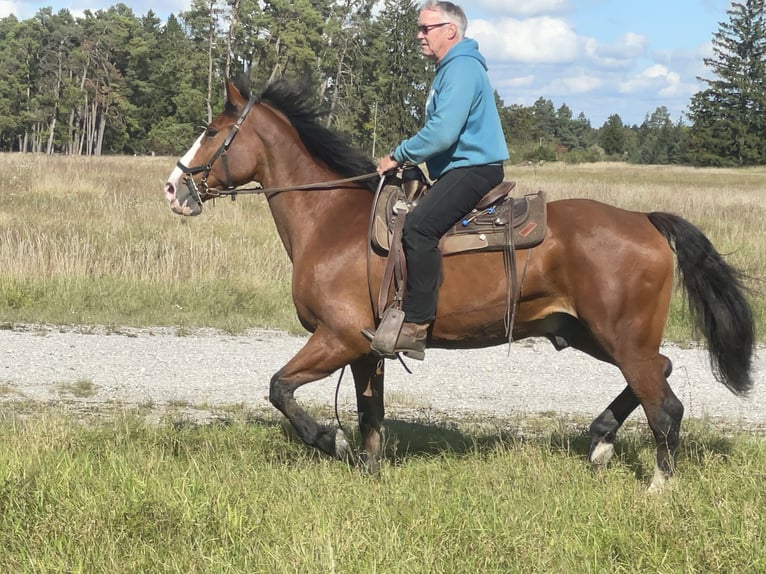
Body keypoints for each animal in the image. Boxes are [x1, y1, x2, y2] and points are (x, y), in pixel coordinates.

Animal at [162, 79, 756, 492]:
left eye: (211, 132)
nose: (173, 188)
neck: (330, 221)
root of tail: (644, 220)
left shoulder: (338, 338)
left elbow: (280, 389)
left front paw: (332, 442)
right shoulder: (366, 348)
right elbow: (369, 412)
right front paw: (368, 468)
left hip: (621, 336)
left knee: (665, 405)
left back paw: (656, 484)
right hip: (587, 332)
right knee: (663, 369)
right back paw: (601, 439)